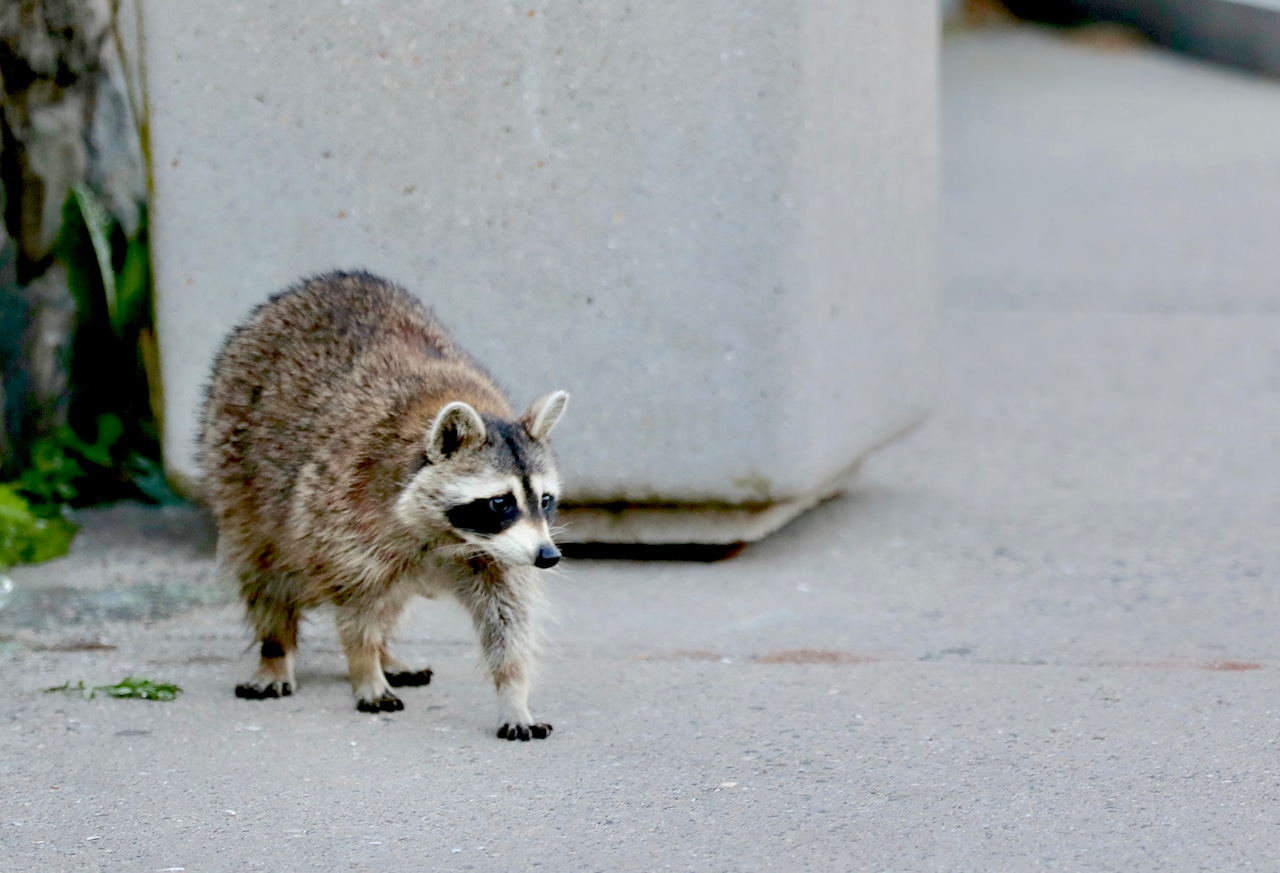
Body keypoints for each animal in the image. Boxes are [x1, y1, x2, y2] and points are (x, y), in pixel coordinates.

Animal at [198, 270, 568, 741]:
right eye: (500, 502)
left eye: (545, 499)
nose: (548, 556)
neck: (448, 536)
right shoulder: (343, 511)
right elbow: (354, 602)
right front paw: (364, 667)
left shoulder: (497, 553)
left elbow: (507, 615)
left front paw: (514, 693)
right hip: (235, 464)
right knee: (266, 573)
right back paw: (277, 649)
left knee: (391, 599)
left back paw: (387, 653)